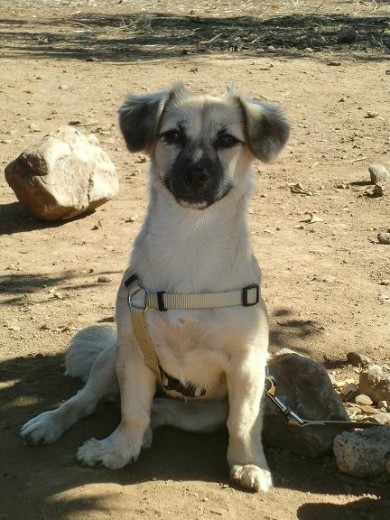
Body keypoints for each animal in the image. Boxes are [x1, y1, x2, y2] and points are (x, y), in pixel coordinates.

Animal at [21, 84, 290, 492]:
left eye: (227, 140)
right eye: (173, 136)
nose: (195, 175)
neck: (190, 240)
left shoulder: (248, 365)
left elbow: (242, 421)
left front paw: (249, 464)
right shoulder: (134, 354)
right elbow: (132, 409)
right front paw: (117, 450)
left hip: (205, 412)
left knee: (162, 410)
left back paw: (149, 432)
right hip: (110, 357)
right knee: (85, 399)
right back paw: (49, 423)